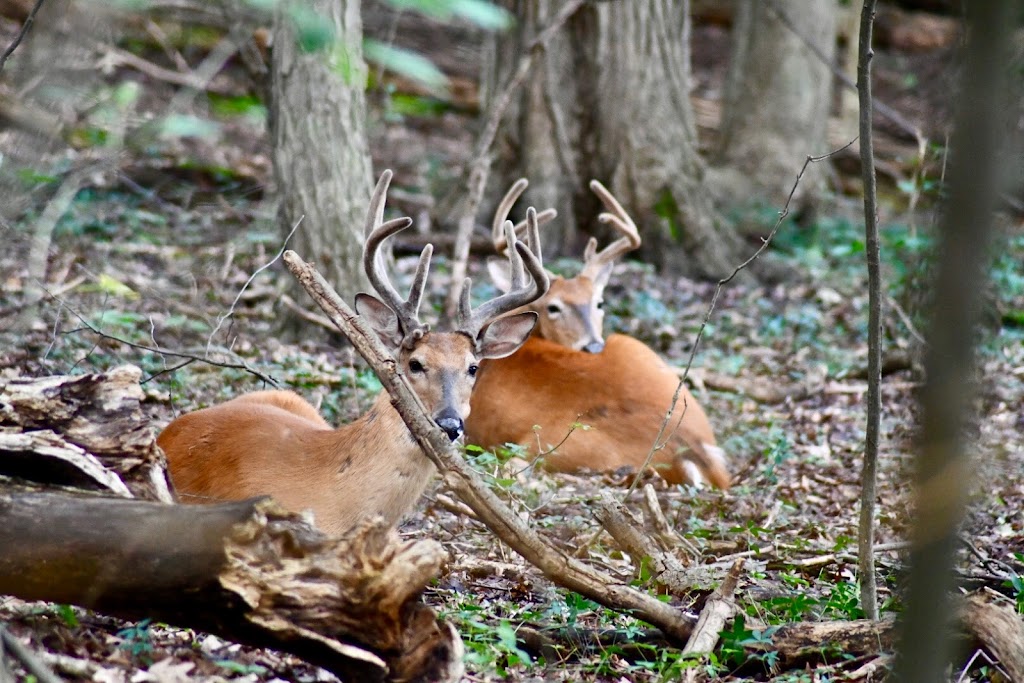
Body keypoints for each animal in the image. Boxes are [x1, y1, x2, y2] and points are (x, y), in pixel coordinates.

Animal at [464, 179, 729, 489]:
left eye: (599, 303)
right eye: (552, 307)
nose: (592, 346)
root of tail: (693, 452)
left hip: (549, 444)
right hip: (634, 347)